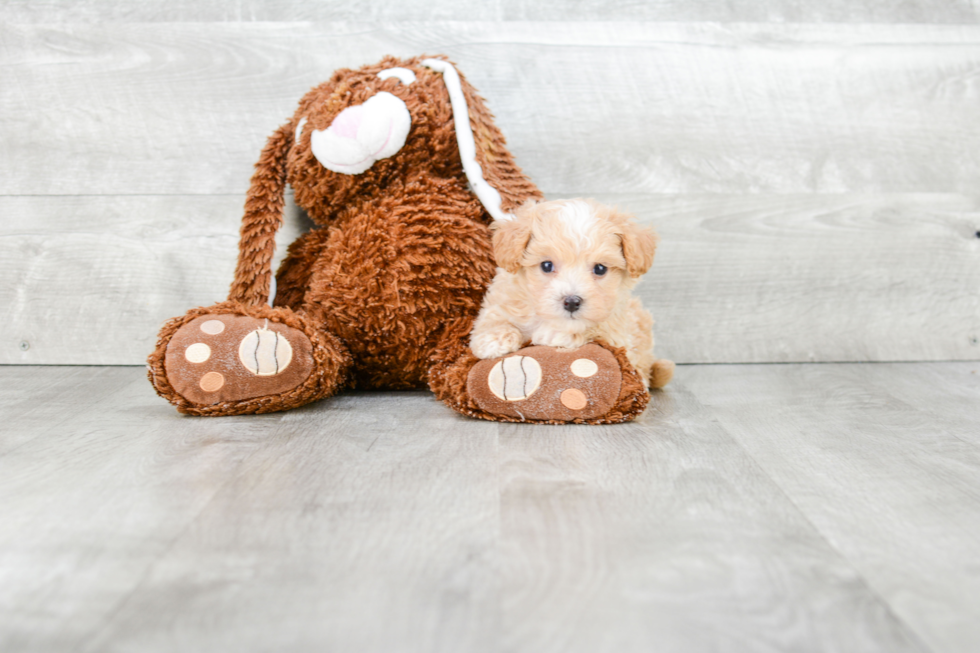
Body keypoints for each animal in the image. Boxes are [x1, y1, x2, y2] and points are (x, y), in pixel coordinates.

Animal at [468, 199, 672, 388]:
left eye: (600, 269)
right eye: (546, 265)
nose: (572, 302)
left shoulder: (618, 331)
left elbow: (594, 331)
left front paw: (554, 336)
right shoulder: (506, 298)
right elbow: (494, 316)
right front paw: (494, 340)